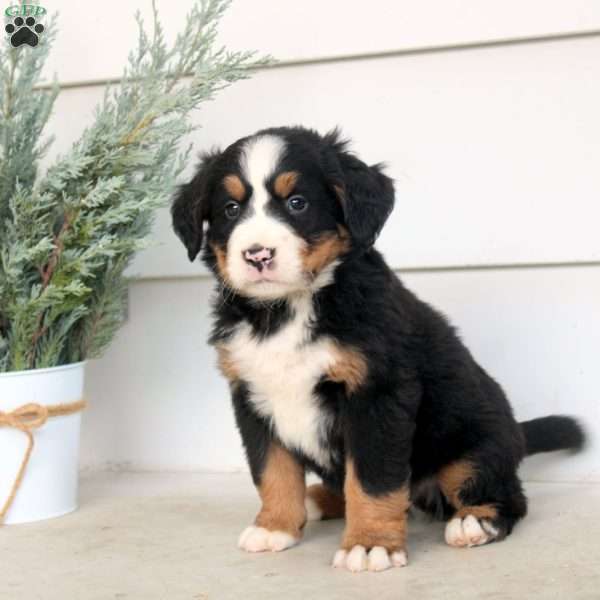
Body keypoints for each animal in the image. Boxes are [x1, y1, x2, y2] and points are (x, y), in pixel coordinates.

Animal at [171, 125, 584, 572]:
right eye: (230, 210)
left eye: (298, 203)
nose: (257, 254)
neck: (285, 312)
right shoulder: (252, 397)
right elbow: (273, 470)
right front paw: (275, 526)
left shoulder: (377, 394)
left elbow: (372, 479)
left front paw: (370, 544)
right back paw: (316, 499)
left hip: (471, 446)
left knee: (505, 494)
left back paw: (474, 521)